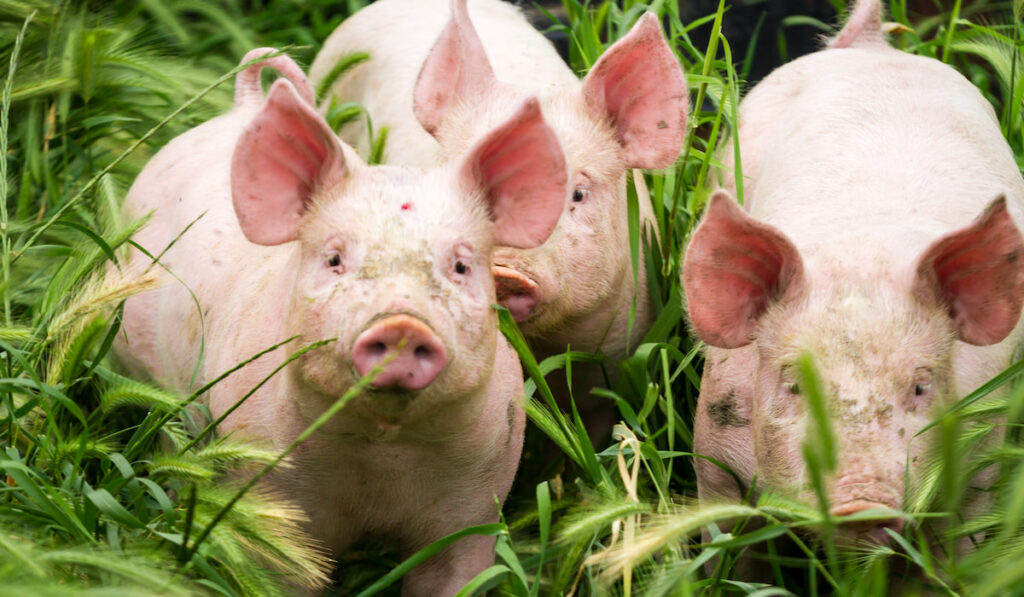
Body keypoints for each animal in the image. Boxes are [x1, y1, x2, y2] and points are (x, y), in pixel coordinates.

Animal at [118, 47, 573, 597]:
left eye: (461, 266)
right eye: (335, 258)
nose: (402, 325)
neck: (382, 453)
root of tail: (242, 108)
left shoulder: (476, 499)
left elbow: (452, 575)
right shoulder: (268, 491)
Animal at [679, 0, 1024, 552]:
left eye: (921, 387)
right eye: (794, 385)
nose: (862, 503)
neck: (861, 254)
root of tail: (874, 47)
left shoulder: (980, 469)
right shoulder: (715, 455)